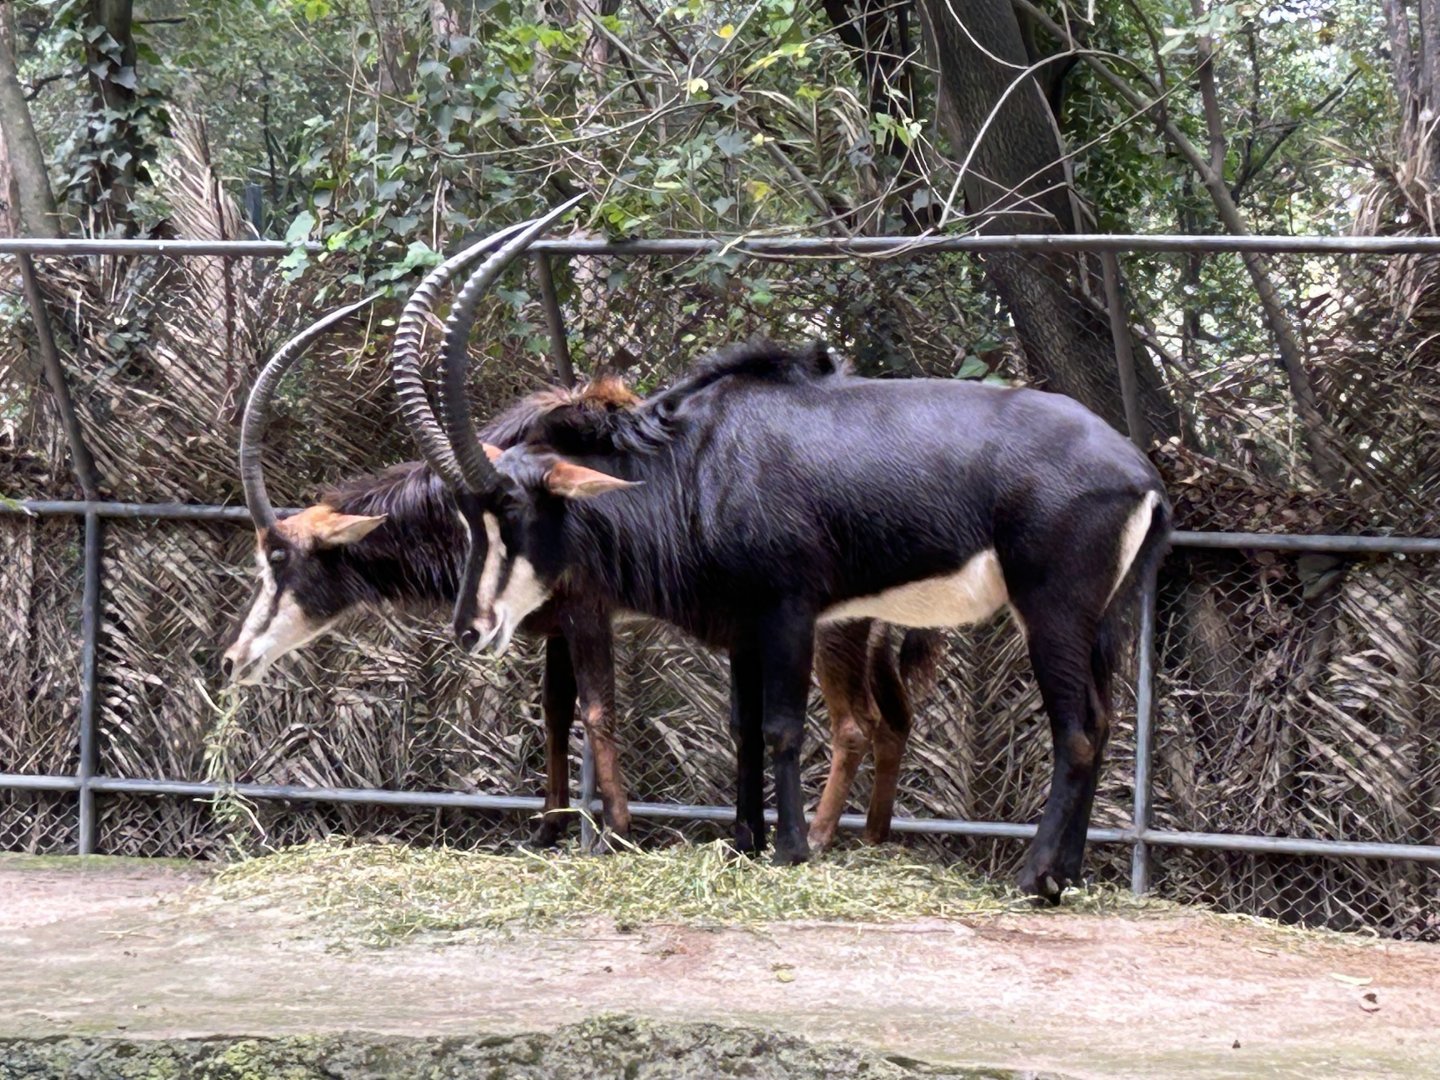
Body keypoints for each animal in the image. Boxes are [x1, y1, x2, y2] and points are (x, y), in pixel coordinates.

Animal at [222, 222, 941, 850]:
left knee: (855, 725)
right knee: (893, 721)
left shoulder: (586, 610)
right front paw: (548, 830)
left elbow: (596, 709)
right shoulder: (552, 626)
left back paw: (819, 837)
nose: (233, 660)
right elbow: (554, 712)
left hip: (832, 627)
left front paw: (614, 832)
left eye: (280, 558)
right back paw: (872, 837)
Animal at [432, 214, 1172, 901]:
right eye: (465, 515)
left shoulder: (787, 610)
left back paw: (1035, 878)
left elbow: (784, 726)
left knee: (1075, 732)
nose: (470, 629)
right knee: (1103, 723)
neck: (695, 457)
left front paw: (789, 849)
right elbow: (743, 727)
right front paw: (744, 842)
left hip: (1052, 613)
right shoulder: (743, 627)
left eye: (513, 510)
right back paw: (1068, 874)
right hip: (1098, 621)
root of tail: (1140, 473)